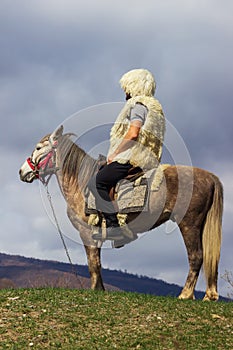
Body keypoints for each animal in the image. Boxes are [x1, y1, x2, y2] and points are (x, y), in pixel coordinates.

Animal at [19, 126, 223, 300]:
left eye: (38, 148)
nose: (22, 171)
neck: (80, 183)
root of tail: (210, 177)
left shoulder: (86, 232)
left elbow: (93, 263)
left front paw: (94, 290)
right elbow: (97, 263)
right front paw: (100, 289)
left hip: (188, 223)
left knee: (196, 256)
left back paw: (185, 295)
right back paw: (209, 295)